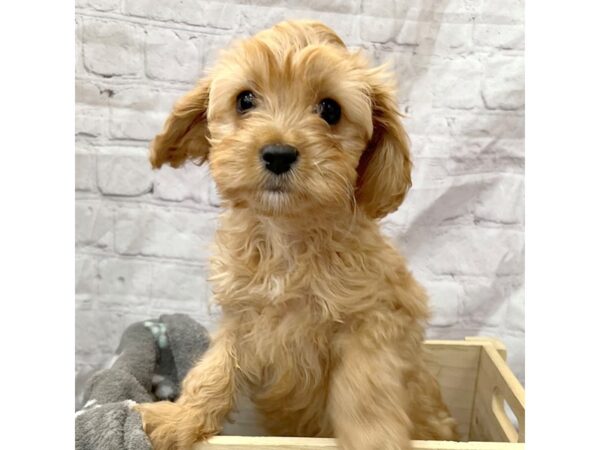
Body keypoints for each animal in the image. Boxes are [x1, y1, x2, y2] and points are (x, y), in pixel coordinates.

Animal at [137, 19, 460, 448]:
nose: (278, 153)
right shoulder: (242, 317)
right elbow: (216, 368)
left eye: (330, 109)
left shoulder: (371, 325)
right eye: (245, 100)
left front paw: (373, 440)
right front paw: (181, 419)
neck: (286, 235)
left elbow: (365, 393)